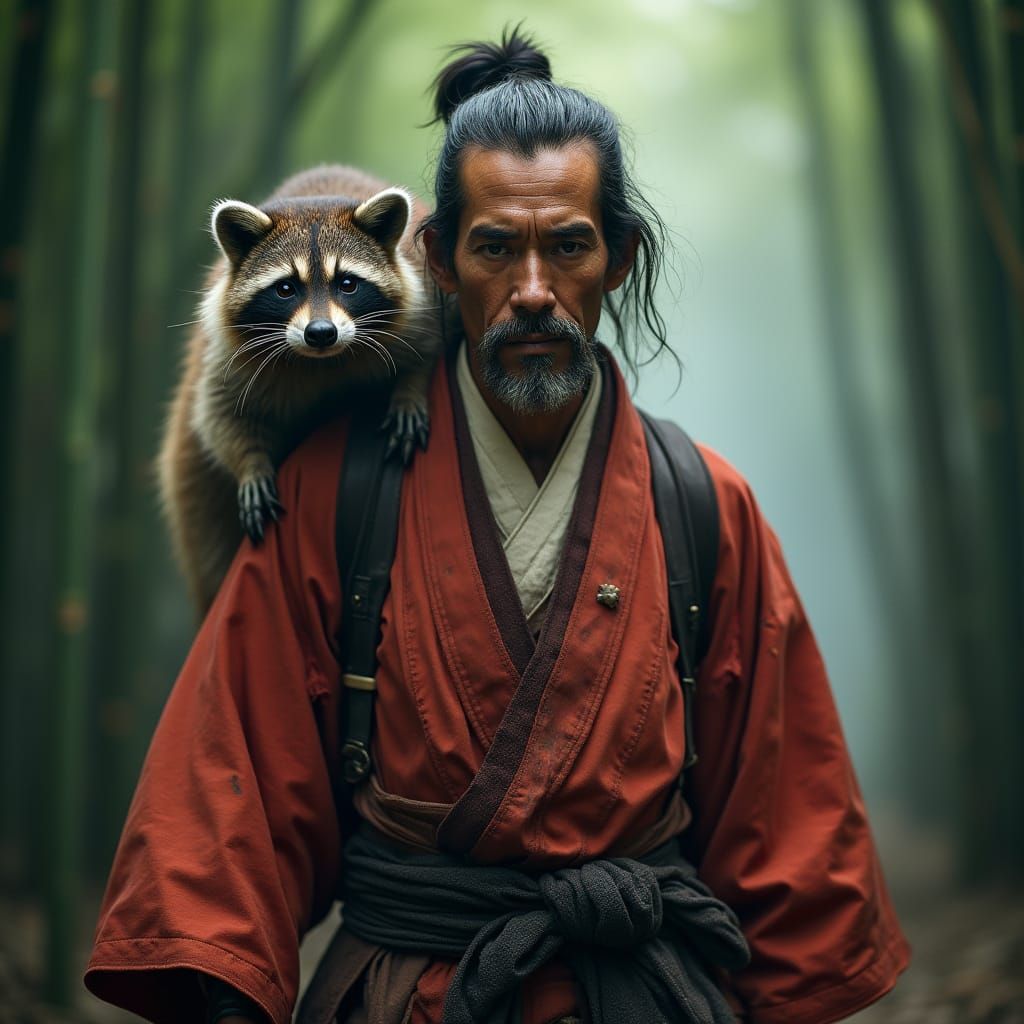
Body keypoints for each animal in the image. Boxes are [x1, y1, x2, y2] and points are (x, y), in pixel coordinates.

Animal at [158, 164, 439, 614]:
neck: (323, 360)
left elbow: (425, 351)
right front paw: (249, 462)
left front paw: (409, 391)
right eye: (286, 288)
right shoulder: (225, 354)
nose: (321, 332)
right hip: (195, 487)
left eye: (347, 283)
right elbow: (219, 414)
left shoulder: (420, 297)